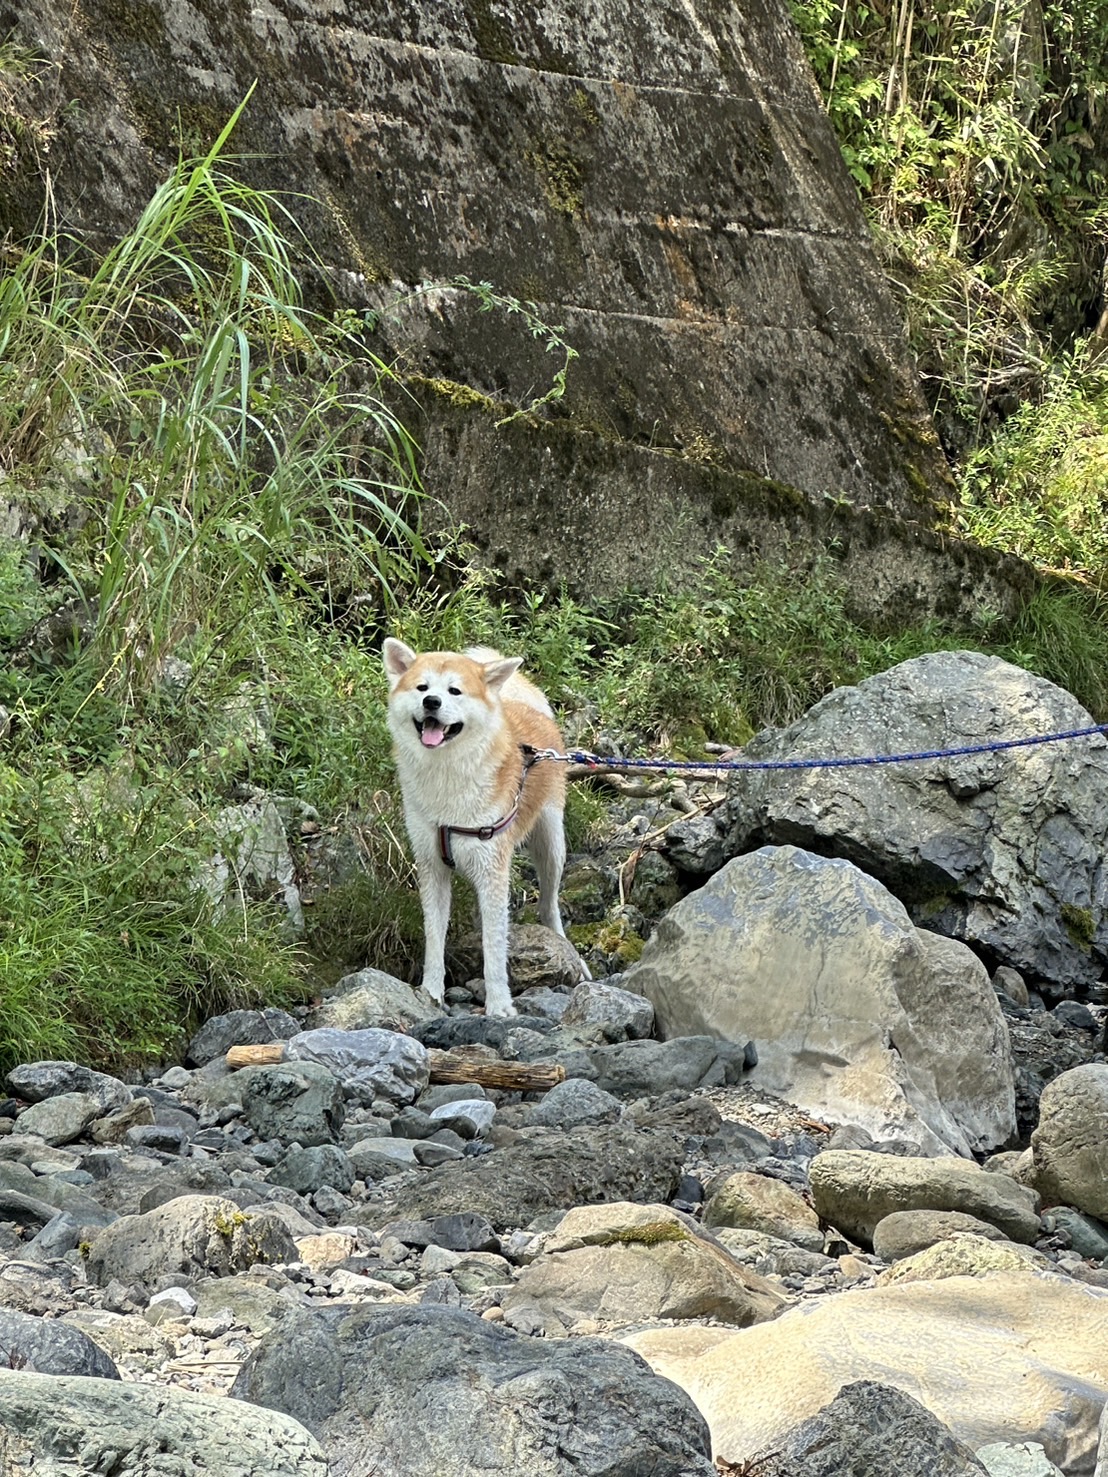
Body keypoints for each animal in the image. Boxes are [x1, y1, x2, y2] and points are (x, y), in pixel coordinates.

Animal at [381, 641, 590, 1022]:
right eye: (422, 687)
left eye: (454, 691)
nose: (431, 702)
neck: (446, 778)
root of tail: (525, 705)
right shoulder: (432, 868)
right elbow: (435, 939)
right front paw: (431, 992)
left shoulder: (493, 870)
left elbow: (494, 948)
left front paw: (499, 1004)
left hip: (551, 846)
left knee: (549, 906)